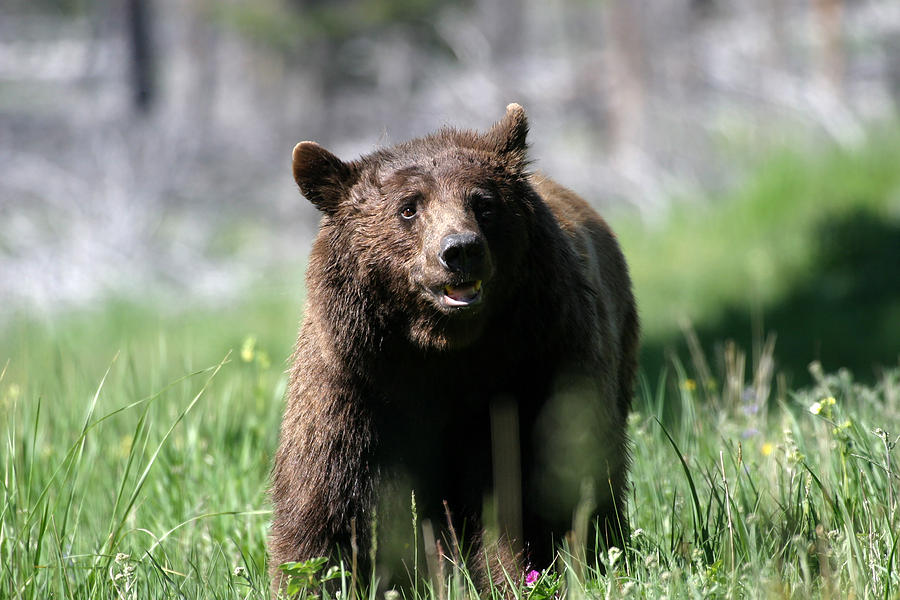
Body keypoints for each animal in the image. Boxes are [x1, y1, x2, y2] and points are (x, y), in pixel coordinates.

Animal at [268, 103, 640, 592]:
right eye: (408, 207)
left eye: (483, 202)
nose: (460, 249)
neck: (444, 353)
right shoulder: (353, 384)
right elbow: (323, 499)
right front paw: (313, 578)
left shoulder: (538, 365)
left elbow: (537, 481)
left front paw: (520, 573)